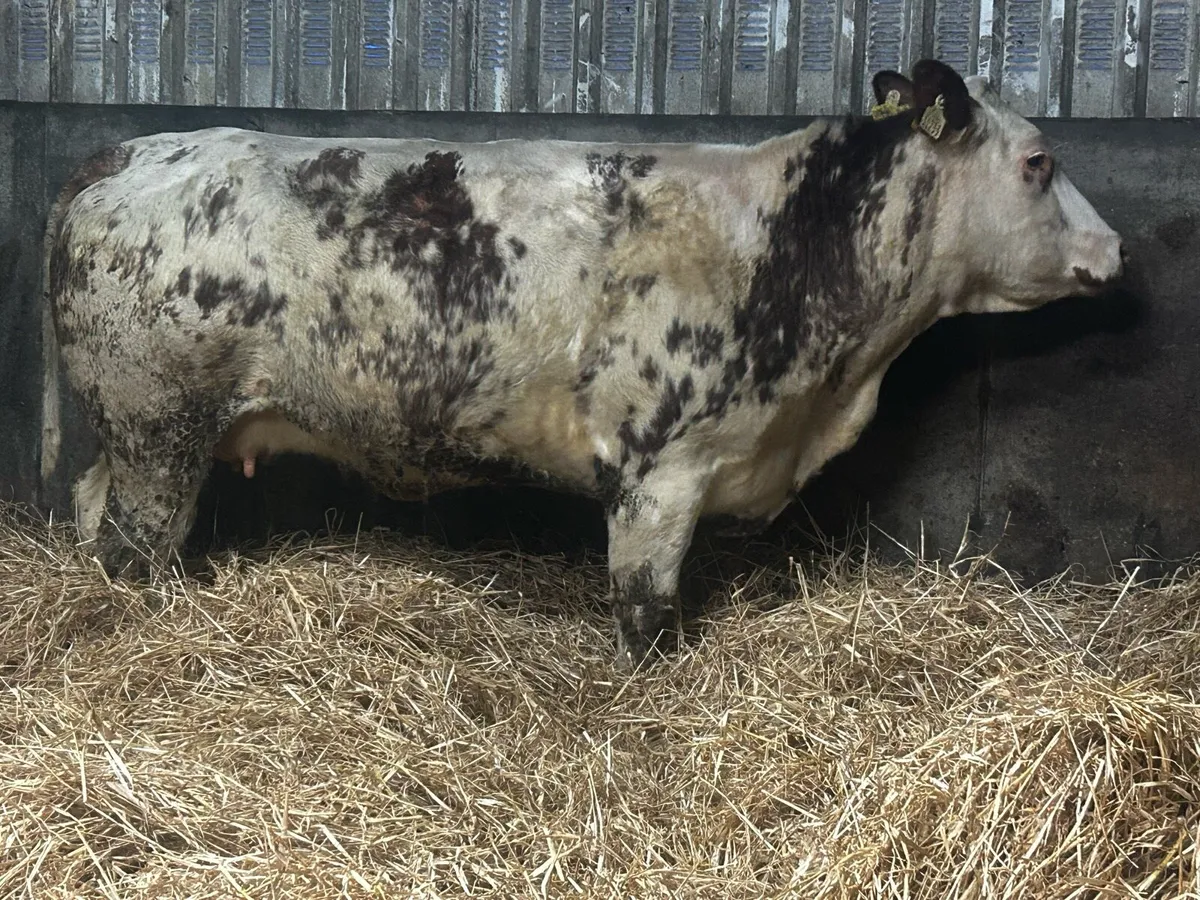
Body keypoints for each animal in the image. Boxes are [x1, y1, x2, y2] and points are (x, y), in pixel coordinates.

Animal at [39, 60, 1124, 669]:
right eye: (1038, 162)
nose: (1114, 249)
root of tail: (135, 151)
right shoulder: (659, 474)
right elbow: (644, 613)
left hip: (138, 432)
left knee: (94, 513)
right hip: (157, 424)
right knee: (132, 545)